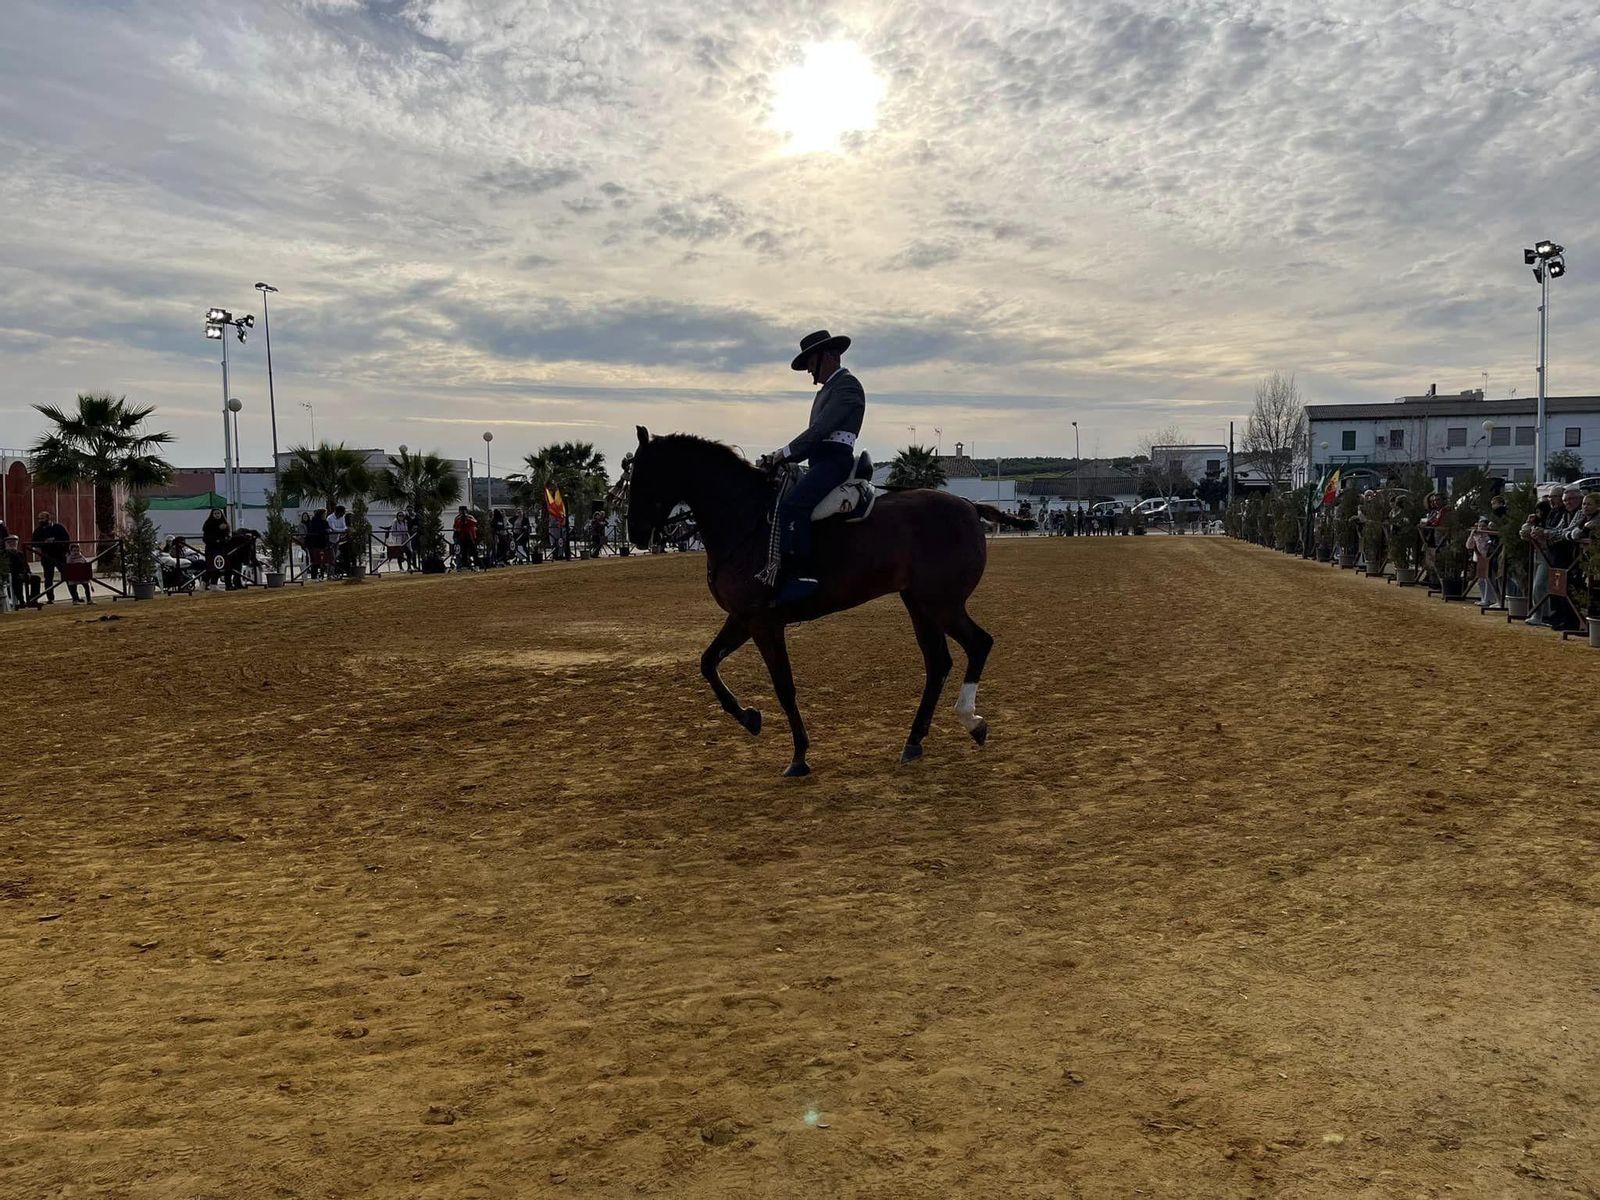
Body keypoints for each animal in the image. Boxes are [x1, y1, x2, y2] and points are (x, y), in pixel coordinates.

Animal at [626, 426, 1030, 776]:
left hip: (941, 605)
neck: (746, 520)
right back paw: (914, 741)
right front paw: (750, 719)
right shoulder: (743, 618)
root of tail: (968, 505)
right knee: (938, 664)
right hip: (920, 606)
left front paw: (798, 756)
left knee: (978, 644)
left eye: (643, 477)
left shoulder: (764, 624)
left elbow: (784, 687)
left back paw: (971, 721)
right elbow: (708, 663)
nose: (636, 535)